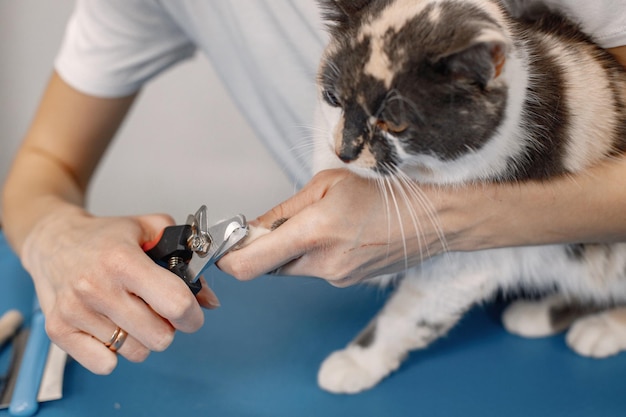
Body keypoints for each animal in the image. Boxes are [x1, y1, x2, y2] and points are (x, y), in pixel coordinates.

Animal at [304, 0, 624, 394]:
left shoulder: (478, 251)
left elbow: (413, 311)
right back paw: (537, 314)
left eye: (395, 124)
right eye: (333, 97)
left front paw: (359, 362)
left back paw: (602, 328)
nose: (344, 151)